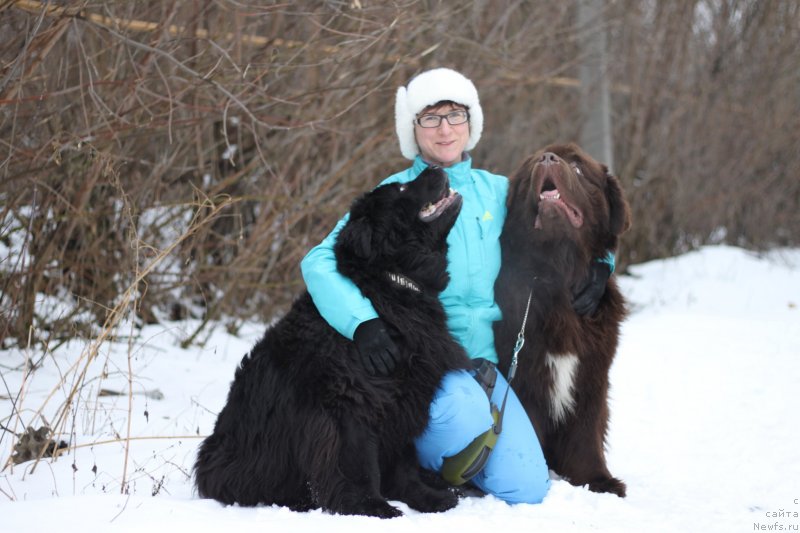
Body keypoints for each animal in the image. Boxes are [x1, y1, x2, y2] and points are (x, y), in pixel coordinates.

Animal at [195, 166, 468, 516]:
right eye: (403, 188)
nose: (437, 167)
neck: (387, 285)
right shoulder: (348, 406)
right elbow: (357, 466)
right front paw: (372, 507)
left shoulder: (404, 397)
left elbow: (404, 461)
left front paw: (427, 498)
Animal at [494, 141, 632, 494]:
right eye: (532, 166)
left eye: (579, 167)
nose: (547, 158)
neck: (557, 276)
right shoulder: (525, 378)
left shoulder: (591, 376)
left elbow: (586, 433)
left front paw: (599, 480)